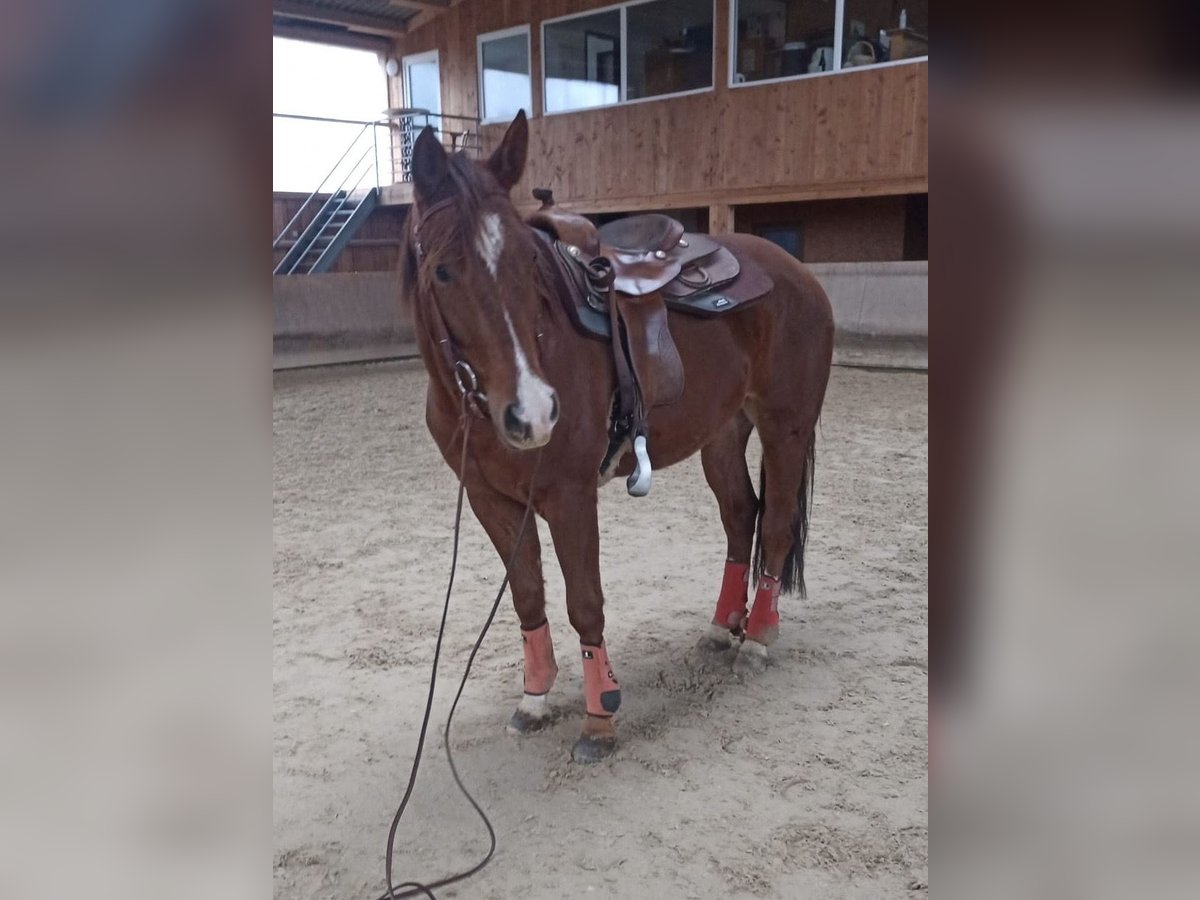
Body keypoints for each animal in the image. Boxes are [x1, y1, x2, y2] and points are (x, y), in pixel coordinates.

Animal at [398, 109, 830, 763]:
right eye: (443, 270)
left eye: (529, 264)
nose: (533, 412)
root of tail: (797, 273)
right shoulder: (489, 499)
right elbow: (528, 595)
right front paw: (534, 699)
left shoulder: (570, 497)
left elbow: (584, 601)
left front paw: (600, 716)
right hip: (722, 433)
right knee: (740, 517)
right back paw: (720, 628)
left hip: (787, 428)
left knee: (776, 523)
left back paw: (757, 638)